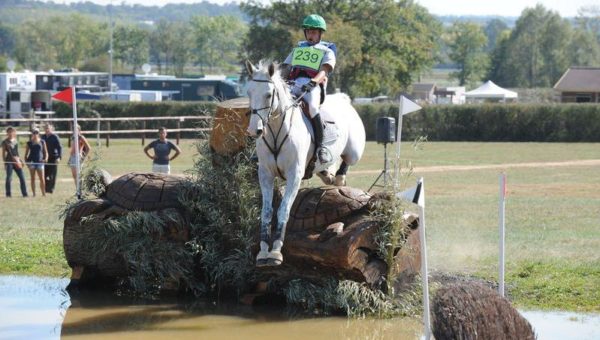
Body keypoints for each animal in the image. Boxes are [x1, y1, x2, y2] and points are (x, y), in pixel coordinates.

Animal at [244, 61, 366, 268]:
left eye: (268, 94)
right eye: (249, 93)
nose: (255, 130)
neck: (276, 132)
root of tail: (344, 100)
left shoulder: (294, 176)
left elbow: (284, 210)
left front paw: (275, 252)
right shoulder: (265, 175)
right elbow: (266, 212)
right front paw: (263, 252)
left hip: (354, 151)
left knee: (347, 162)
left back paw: (338, 177)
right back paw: (327, 174)